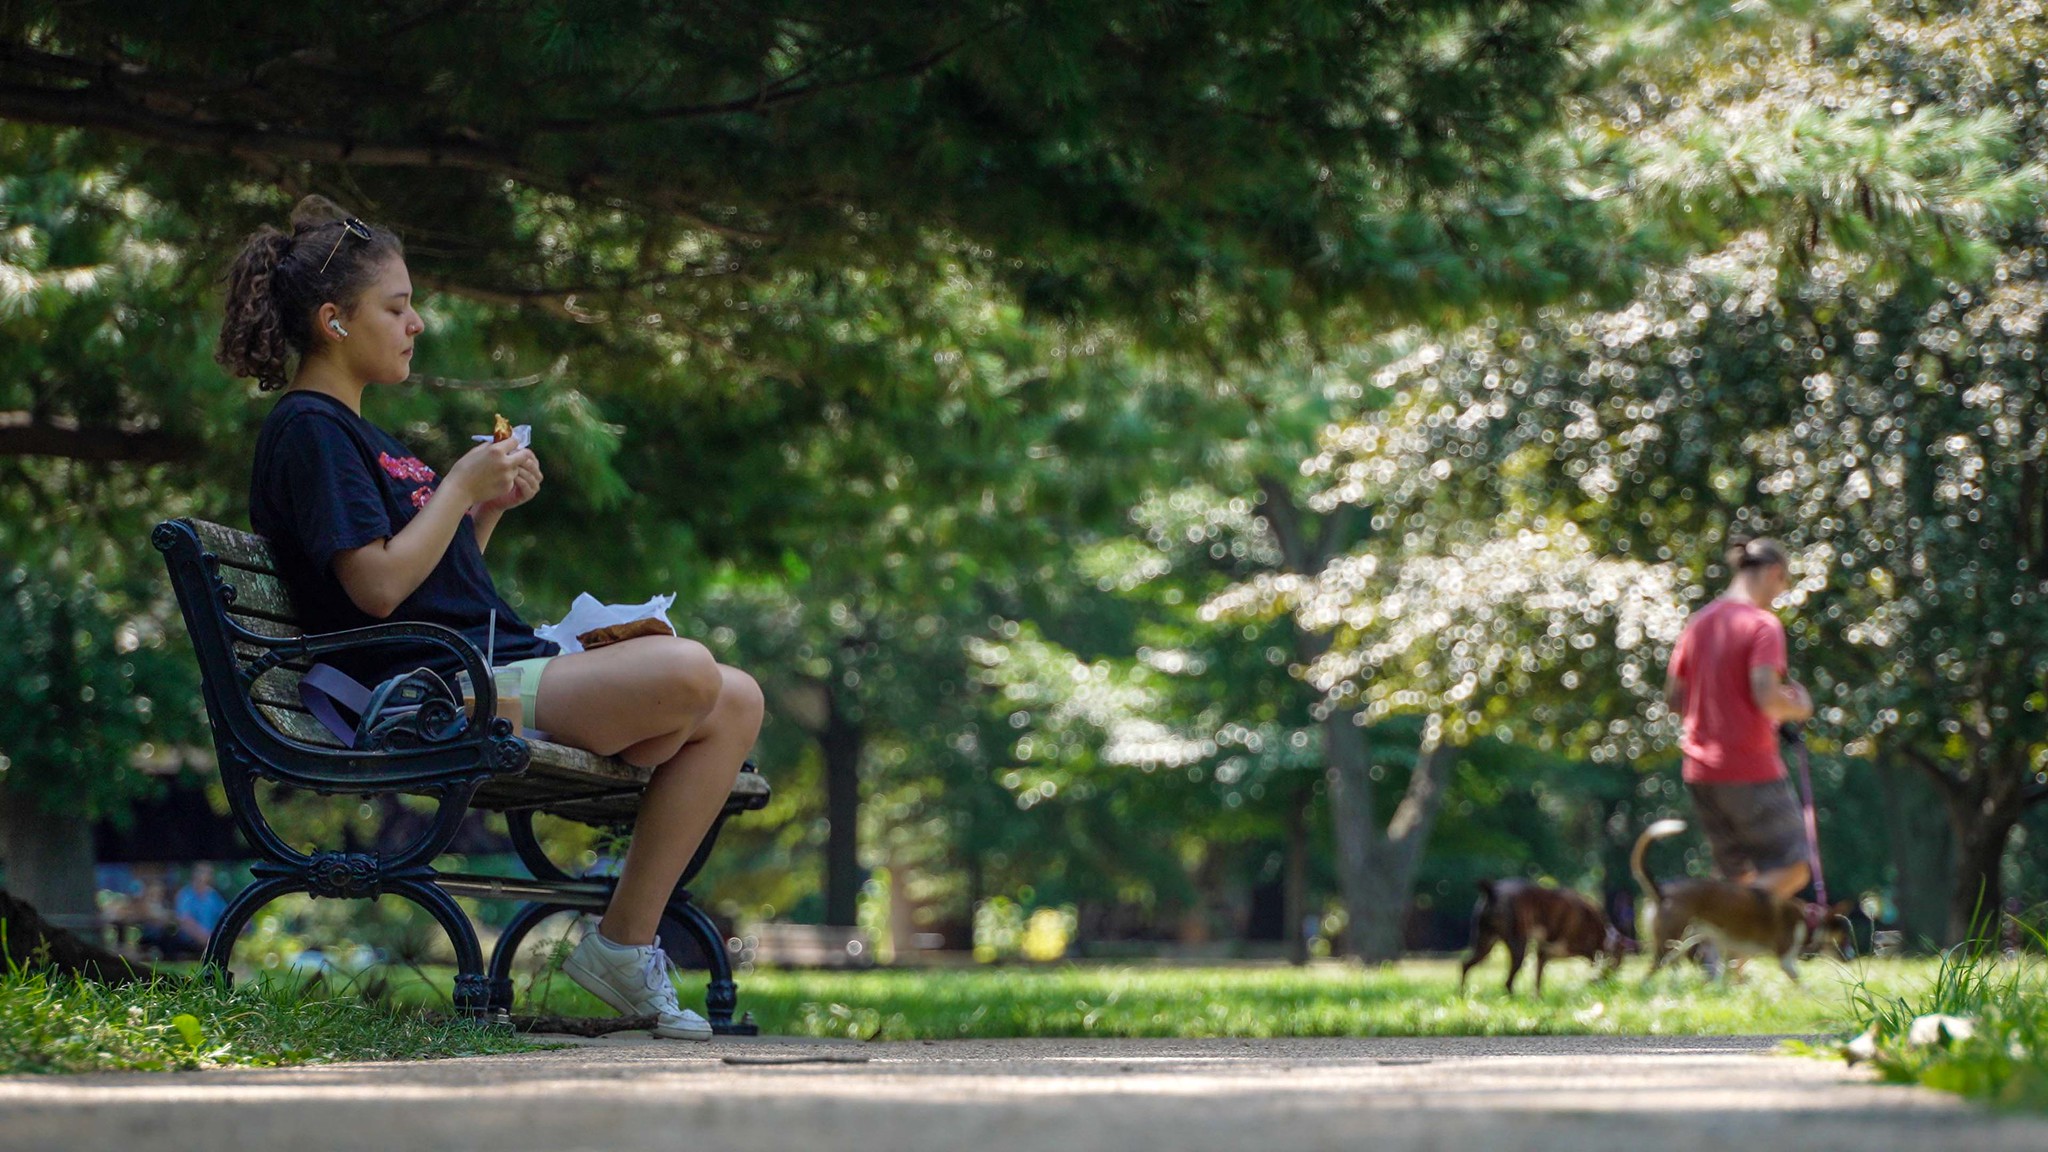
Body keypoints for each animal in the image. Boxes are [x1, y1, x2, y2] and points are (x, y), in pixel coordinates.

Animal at [1458, 873, 1630, 992]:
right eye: (1618, 961)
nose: (1613, 979)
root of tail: (1493, 890)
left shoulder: (1542, 954)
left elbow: (1537, 982)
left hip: (1485, 944)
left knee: (1466, 964)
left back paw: (1462, 995)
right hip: (1518, 946)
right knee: (1507, 982)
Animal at [1630, 815, 1859, 975]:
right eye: (1845, 935)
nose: (1852, 957)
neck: (1809, 919)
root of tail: (1661, 891)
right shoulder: (1784, 960)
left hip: (1680, 941)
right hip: (1670, 940)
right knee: (1653, 969)